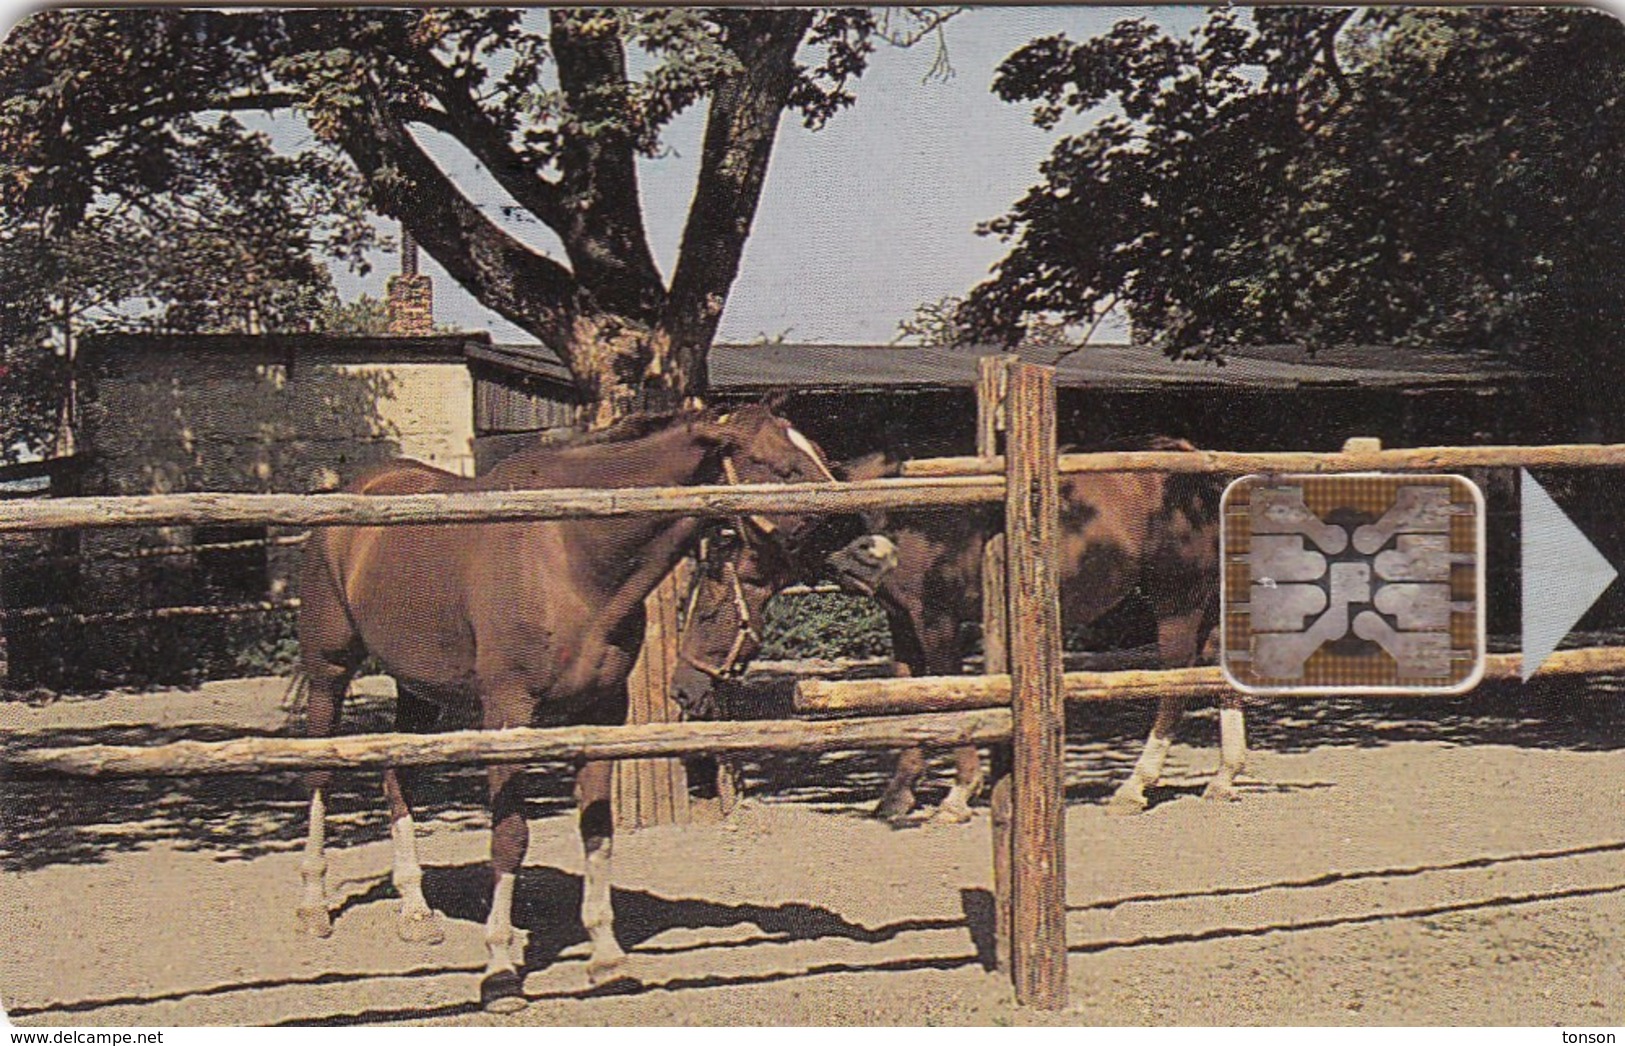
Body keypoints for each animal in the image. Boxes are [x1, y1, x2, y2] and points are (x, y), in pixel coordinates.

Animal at [294, 402, 845, 1013]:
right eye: (782, 466)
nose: (851, 525)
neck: (570, 553)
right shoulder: (507, 714)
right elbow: (510, 837)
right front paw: (500, 971)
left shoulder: (602, 713)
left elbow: (597, 828)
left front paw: (605, 958)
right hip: (329, 672)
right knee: (319, 773)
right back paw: (314, 905)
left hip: (416, 690)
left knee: (397, 776)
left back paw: (415, 911)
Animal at [666, 438, 1235, 821]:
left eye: (710, 611)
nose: (682, 690)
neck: (898, 516)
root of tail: (1201, 476)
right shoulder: (900, 623)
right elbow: (910, 698)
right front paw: (897, 796)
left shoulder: (936, 620)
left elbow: (948, 693)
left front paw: (959, 794)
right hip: (1208, 602)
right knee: (1218, 672)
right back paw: (1225, 777)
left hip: (1177, 601)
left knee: (1176, 684)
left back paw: (1135, 785)